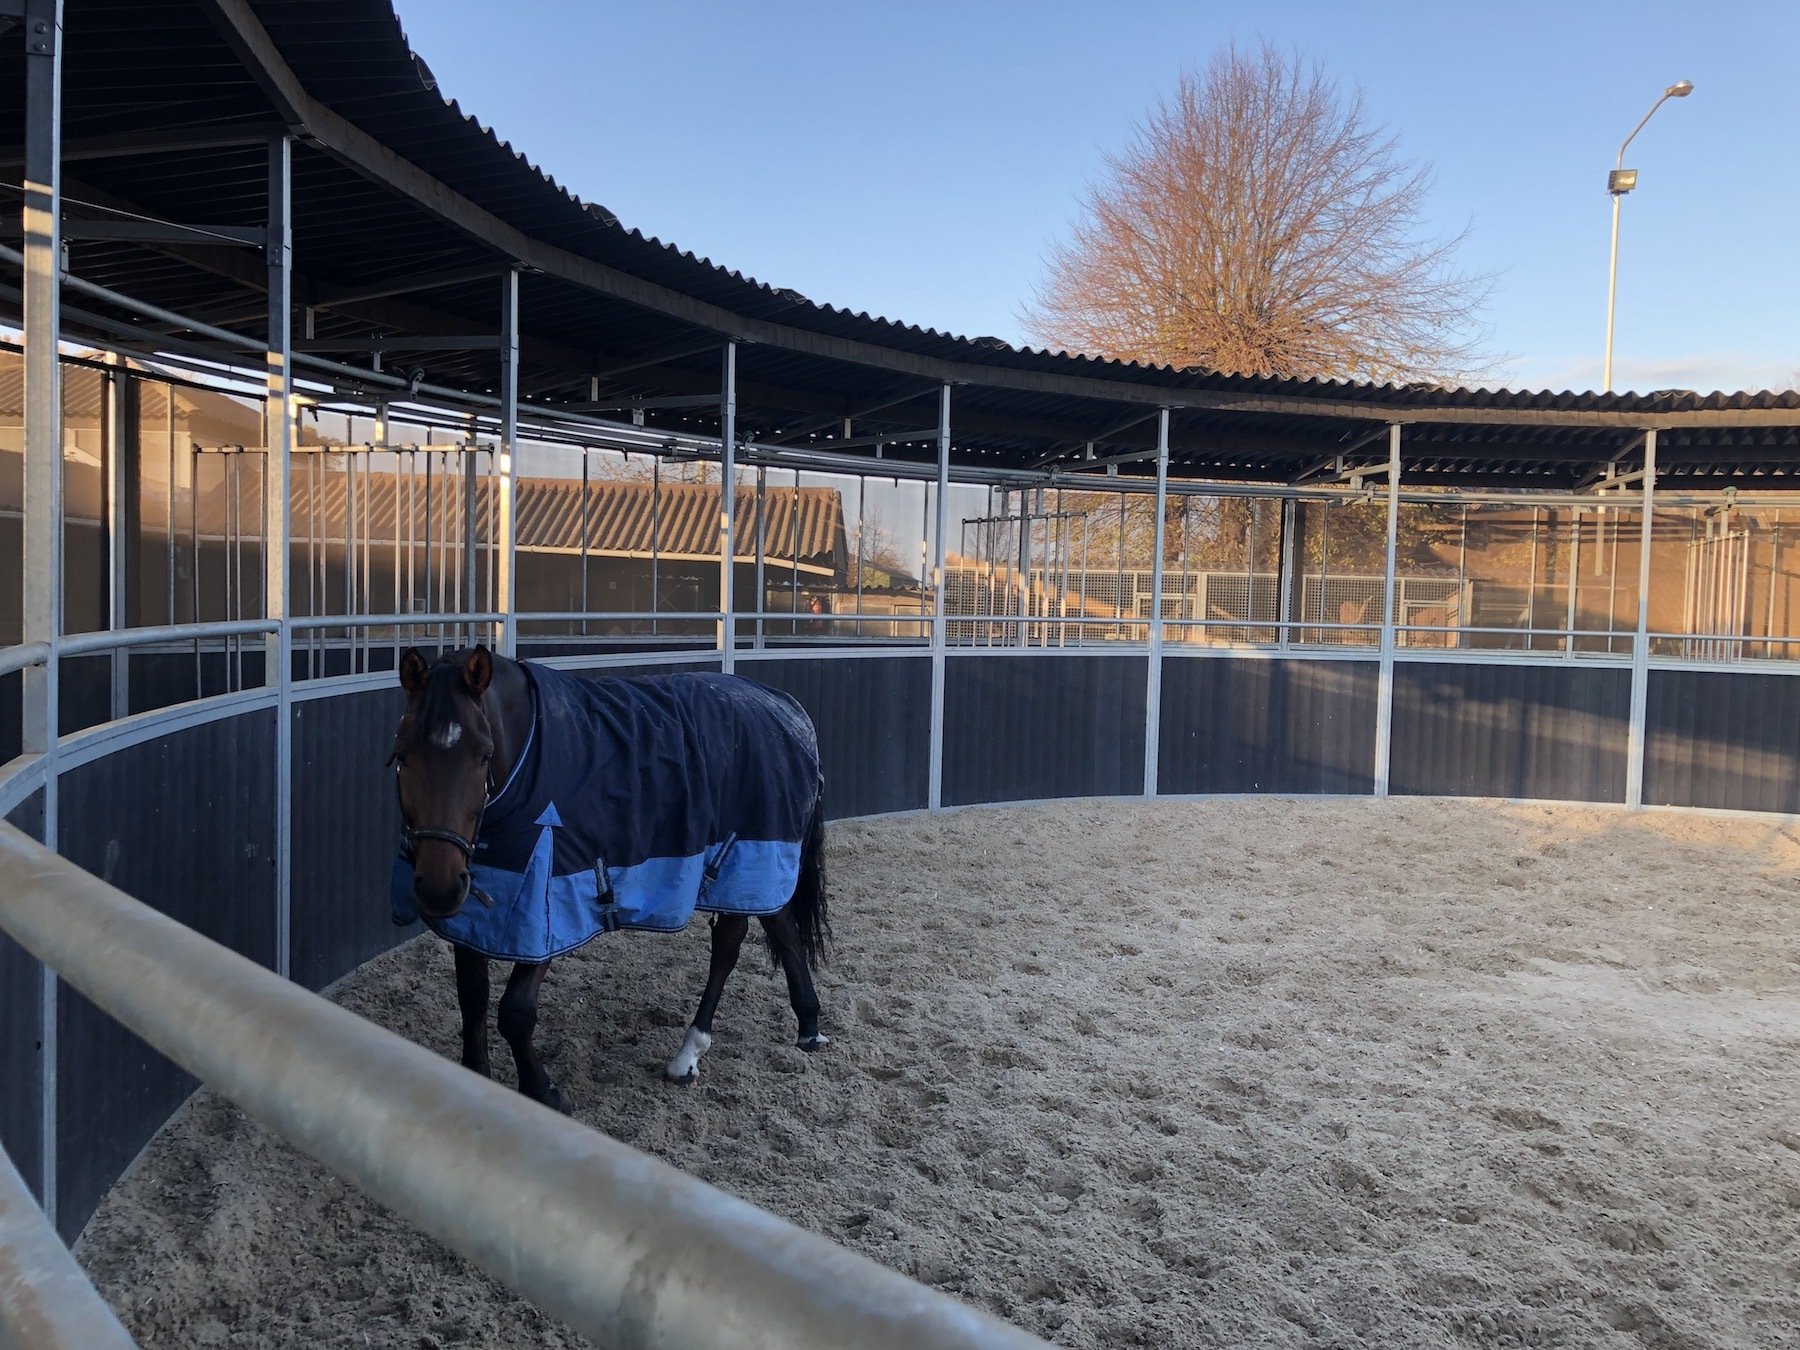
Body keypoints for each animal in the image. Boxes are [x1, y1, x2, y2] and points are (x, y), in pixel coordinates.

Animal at [387, 645, 830, 1112]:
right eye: (402, 754)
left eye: (484, 755)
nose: (439, 887)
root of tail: (787, 707)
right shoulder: (475, 917)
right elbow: (472, 1000)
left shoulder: (548, 904)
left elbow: (515, 1012)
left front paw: (544, 1091)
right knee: (774, 929)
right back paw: (806, 1026)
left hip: (748, 860)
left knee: (735, 943)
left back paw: (694, 1050)